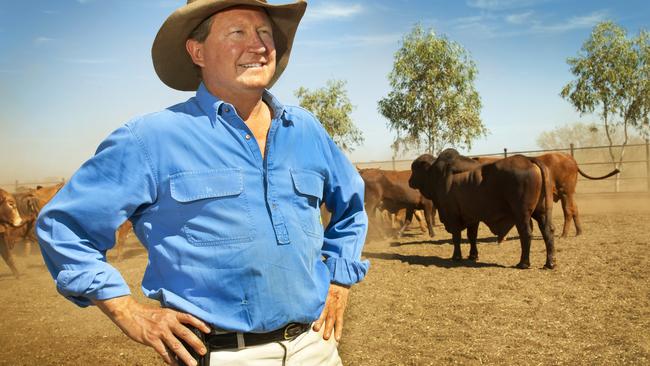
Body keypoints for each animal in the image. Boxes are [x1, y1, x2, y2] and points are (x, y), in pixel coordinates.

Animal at [408, 149, 556, 268]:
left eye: (414, 169)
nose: (409, 181)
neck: (437, 175)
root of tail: (528, 159)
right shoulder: (472, 217)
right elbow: (472, 236)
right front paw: (473, 255)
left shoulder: (452, 216)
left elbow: (456, 237)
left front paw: (456, 256)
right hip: (541, 212)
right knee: (548, 231)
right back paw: (550, 263)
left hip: (521, 214)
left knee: (526, 233)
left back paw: (523, 263)